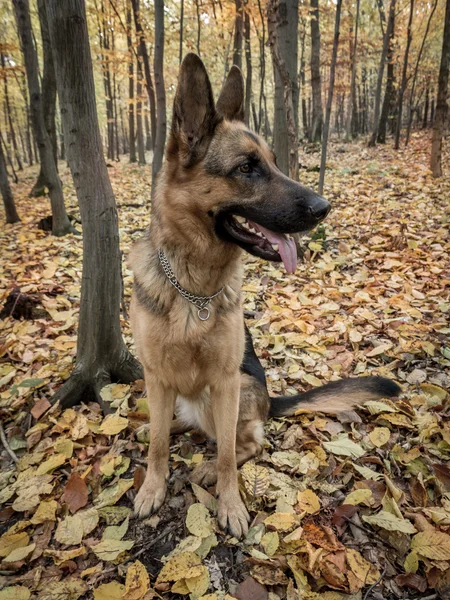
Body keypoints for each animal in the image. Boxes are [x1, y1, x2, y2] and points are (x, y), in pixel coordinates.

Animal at [131, 54, 400, 536]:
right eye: (246, 168)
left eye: (275, 163)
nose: (324, 208)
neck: (193, 289)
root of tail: (273, 401)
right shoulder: (156, 377)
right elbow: (159, 445)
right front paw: (152, 488)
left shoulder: (224, 381)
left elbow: (225, 456)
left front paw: (231, 505)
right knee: (177, 426)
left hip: (234, 390)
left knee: (247, 442)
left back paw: (210, 464)